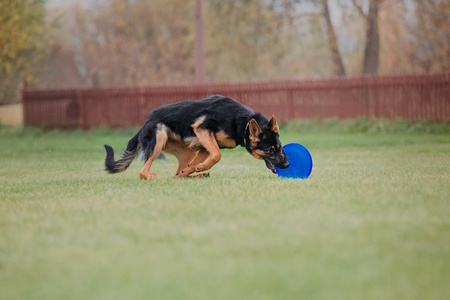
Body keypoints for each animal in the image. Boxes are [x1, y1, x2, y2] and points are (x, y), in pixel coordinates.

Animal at [104, 94, 290, 178]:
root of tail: (147, 121)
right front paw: (201, 167)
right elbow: (217, 155)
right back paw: (150, 176)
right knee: (143, 171)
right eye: (270, 151)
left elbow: (205, 159)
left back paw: (194, 174)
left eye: (280, 148)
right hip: (158, 139)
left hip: (188, 151)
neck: (242, 122)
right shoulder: (203, 129)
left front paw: (197, 168)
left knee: (177, 175)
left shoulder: (204, 147)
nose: (287, 165)